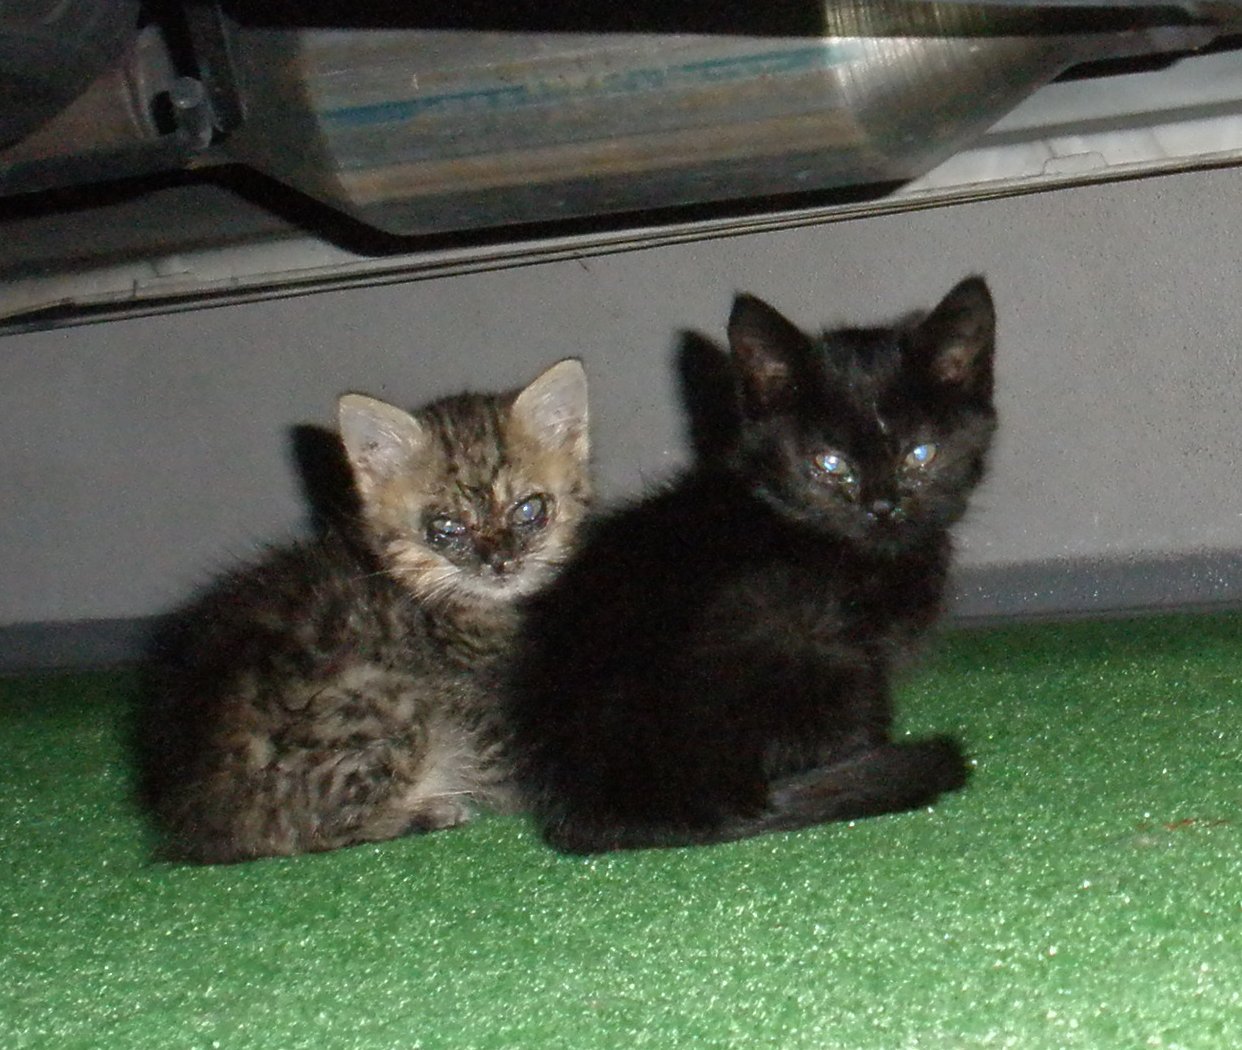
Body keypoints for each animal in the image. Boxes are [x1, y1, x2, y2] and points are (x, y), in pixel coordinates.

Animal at [140, 359, 590, 864]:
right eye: (446, 528)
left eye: (529, 510)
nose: (500, 562)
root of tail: (202, 817)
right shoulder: (479, 715)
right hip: (382, 695)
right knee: (309, 834)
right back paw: (427, 811)